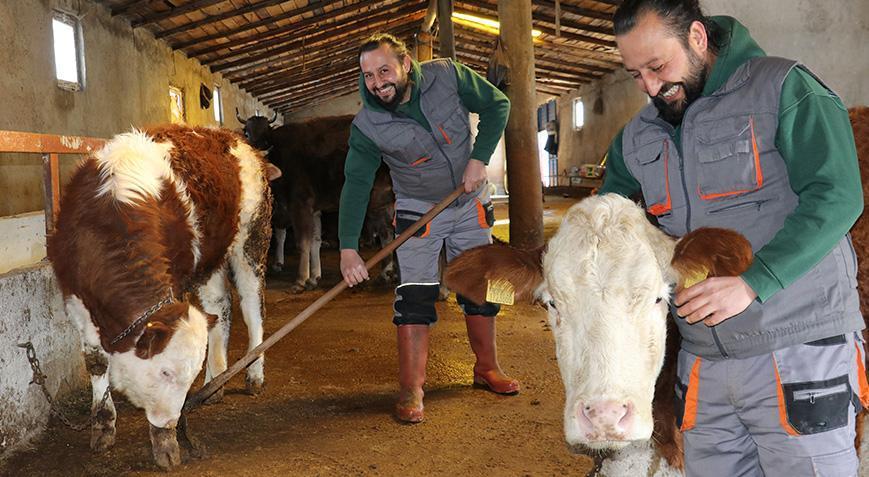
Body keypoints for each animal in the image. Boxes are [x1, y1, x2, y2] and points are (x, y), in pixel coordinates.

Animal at [48, 123, 278, 468]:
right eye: (166, 372)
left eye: (186, 377)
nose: (171, 421)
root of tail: (235, 138)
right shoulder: (75, 299)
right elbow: (96, 362)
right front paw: (102, 426)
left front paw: (166, 445)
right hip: (210, 258)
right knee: (220, 306)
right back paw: (216, 381)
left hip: (252, 236)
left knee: (253, 307)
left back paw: (253, 375)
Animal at [239, 112, 398, 290]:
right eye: (246, 132)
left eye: (267, 132)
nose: (256, 149)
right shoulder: (314, 210)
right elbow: (315, 241)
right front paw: (314, 277)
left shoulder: (300, 204)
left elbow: (303, 242)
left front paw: (300, 280)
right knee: (387, 233)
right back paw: (386, 273)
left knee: (387, 232)